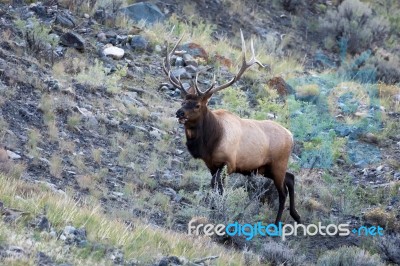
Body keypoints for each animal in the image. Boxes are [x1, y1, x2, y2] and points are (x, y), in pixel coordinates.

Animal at [164, 30, 302, 224]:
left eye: (197, 105)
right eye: (183, 101)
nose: (179, 113)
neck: (210, 141)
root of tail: (291, 136)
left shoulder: (228, 163)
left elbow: (218, 187)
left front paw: (217, 211)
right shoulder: (212, 165)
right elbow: (214, 187)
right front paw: (212, 209)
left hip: (278, 164)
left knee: (282, 191)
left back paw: (277, 223)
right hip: (265, 168)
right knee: (290, 178)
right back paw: (296, 216)